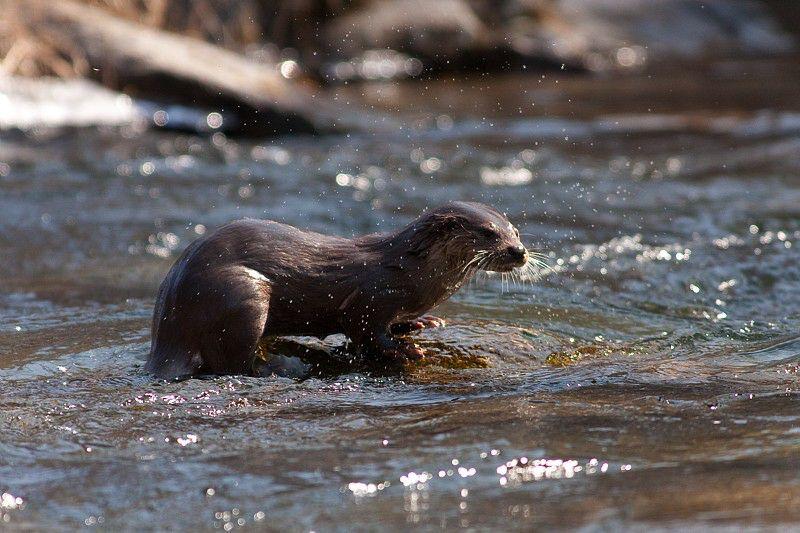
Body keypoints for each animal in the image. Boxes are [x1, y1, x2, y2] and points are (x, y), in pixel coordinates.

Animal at [146, 201, 528, 378]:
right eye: (488, 233)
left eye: (515, 231)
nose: (519, 252)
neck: (410, 270)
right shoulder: (374, 296)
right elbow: (366, 333)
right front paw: (405, 350)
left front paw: (421, 323)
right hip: (239, 294)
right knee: (231, 362)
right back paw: (275, 367)